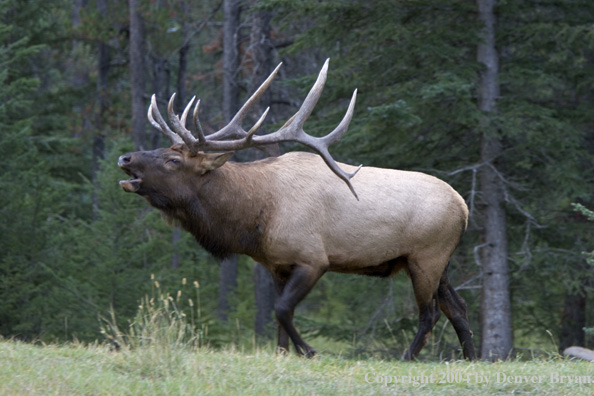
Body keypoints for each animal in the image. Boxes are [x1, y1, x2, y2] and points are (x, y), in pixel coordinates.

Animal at [118, 60, 474, 360]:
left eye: (173, 160)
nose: (125, 158)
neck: (254, 217)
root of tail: (464, 207)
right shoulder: (277, 265)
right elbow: (278, 321)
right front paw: (284, 353)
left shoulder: (312, 258)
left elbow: (281, 310)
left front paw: (310, 350)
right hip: (437, 261)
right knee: (457, 307)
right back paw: (472, 357)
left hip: (426, 256)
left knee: (429, 312)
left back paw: (407, 357)